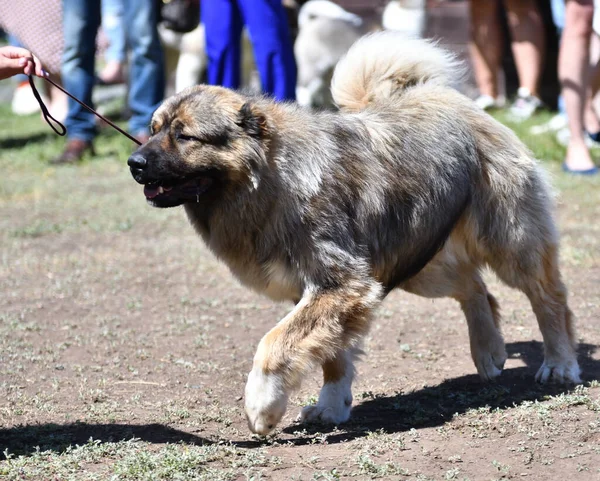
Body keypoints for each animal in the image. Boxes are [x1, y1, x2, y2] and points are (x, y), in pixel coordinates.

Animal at [127, 31, 580, 434]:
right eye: (154, 128)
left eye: (184, 136)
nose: (135, 162)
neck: (273, 178)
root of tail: (454, 101)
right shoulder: (336, 291)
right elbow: (333, 355)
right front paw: (331, 405)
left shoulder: (341, 285)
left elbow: (275, 344)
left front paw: (262, 405)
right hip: (414, 260)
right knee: (474, 287)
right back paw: (489, 351)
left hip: (509, 242)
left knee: (548, 297)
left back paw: (559, 363)